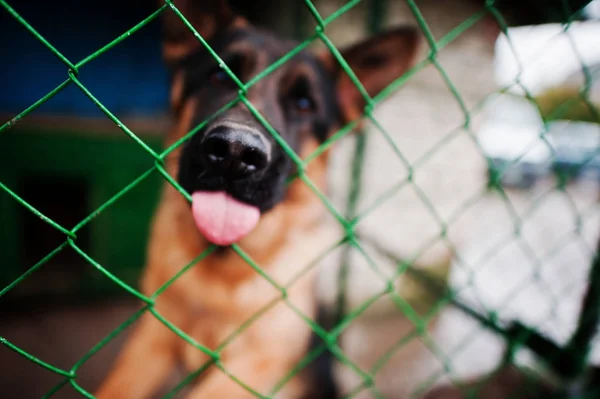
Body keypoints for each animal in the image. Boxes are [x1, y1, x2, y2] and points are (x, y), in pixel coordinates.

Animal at [95, 1, 422, 398]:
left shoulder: (256, 362)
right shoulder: (151, 340)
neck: (218, 278)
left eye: (303, 103)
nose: (235, 151)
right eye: (219, 77)